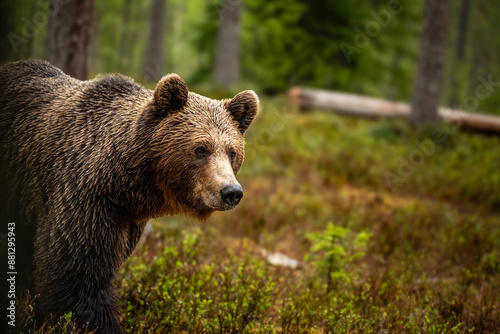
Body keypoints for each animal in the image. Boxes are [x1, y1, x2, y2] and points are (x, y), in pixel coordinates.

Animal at [0, 60, 258, 334]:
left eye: (232, 152)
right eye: (201, 149)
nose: (231, 192)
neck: (125, 186)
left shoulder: (126, 220)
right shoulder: (82, 198)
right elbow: (78, 275)